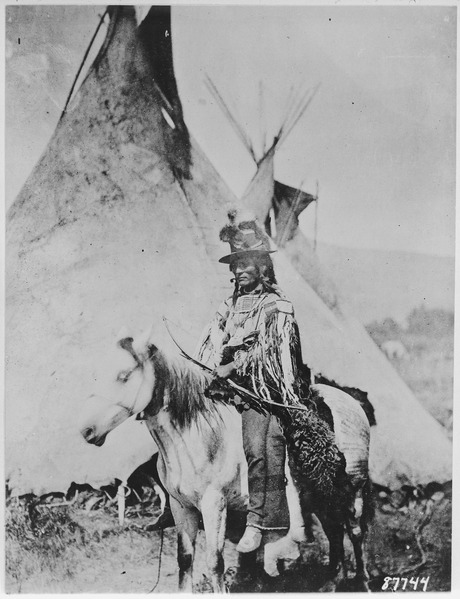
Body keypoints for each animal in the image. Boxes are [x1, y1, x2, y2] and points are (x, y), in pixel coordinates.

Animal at [81, 336, 372, 592]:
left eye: (123, 375)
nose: (86, 431)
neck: (197, 433)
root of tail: (350, 402)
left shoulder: (214, 505)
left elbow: (214, 562)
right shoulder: (181, 506)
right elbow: (185, 560)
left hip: (351, 491)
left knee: (355, 533)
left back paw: (362, 581)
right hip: (322, 496)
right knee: (335, 532)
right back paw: (332, 583)